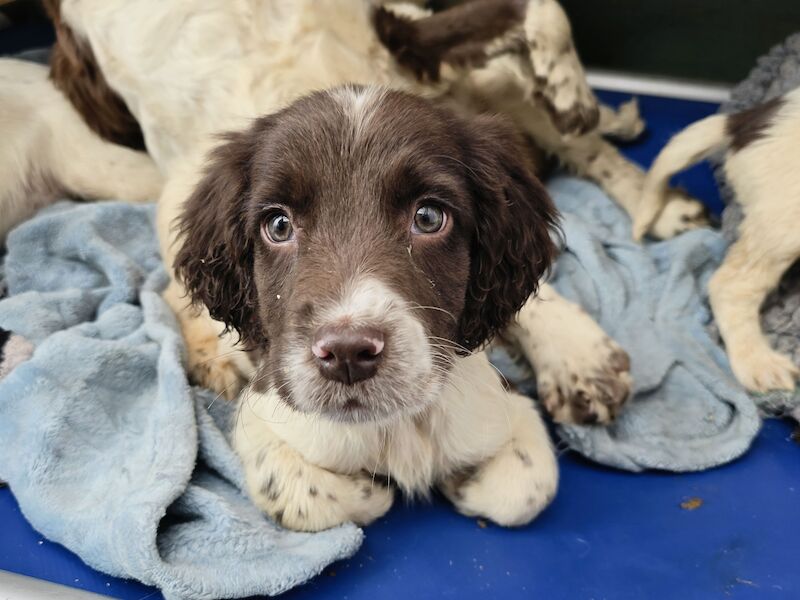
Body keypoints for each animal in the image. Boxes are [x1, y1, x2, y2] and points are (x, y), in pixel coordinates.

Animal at [174, 88, 564, 528]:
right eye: (278, 225)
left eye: (429, 217)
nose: (346, 353)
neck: (395, 425)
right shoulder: (263, 414)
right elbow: (304, 497)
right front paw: (372, 490)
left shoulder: (502, 404)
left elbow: (524, 489)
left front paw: (463, 483)